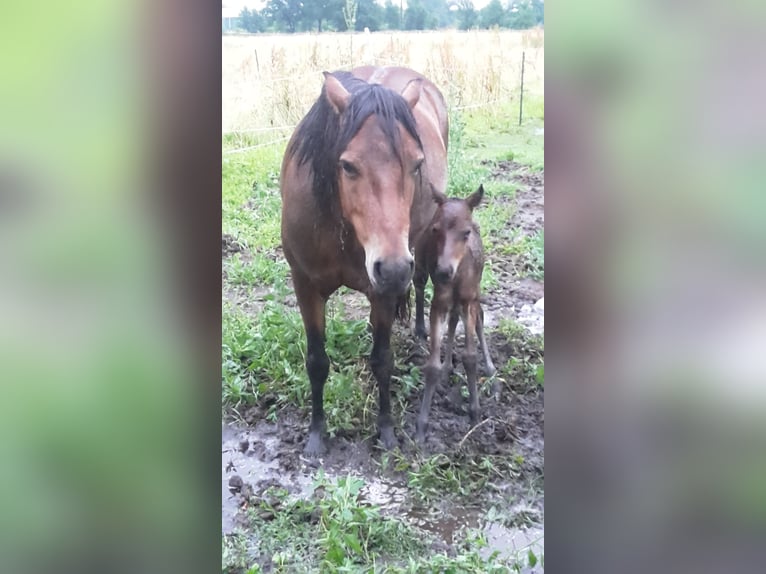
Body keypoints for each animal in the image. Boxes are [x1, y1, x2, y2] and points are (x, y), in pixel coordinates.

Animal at [280, 66, 450, 454]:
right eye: (347, 165)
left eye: (417, 164)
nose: (394, 269)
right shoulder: (304, 286)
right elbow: (316, 361)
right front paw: (316, 435)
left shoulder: (382, 291)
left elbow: (382, 361)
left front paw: (386, 431)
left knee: (420, 282)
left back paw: (420, 329)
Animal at [414, 187, 498, 444]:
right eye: (435, 229)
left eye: (467, 232)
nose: (443, 271)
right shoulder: (439, 302)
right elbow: (431, 366)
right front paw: (421, 425)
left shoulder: (469, 300)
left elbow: (470, 356)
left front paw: (475, 412)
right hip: (421, 268)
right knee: (420, 287)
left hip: (474, 294)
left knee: (478, 317)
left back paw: (492, 375)